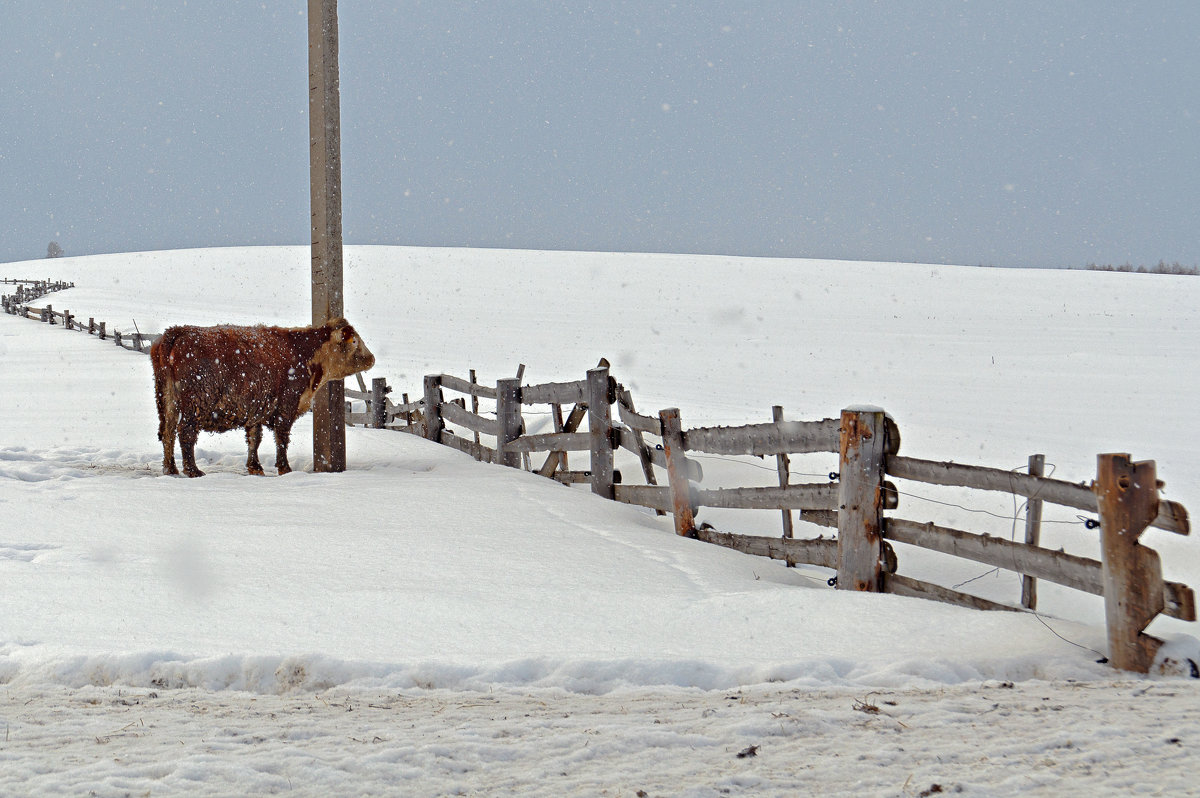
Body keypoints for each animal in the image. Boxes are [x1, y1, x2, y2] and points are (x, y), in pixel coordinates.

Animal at [150, 316, 374, 475]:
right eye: (355, 341)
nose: (371, 358)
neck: (304, 351)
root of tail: (178, 331)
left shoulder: (256, 407)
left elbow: (254, 438)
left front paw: (255, 466)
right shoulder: (287, 405)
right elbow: (281, 437)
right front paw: (285, 468)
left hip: (167, 401)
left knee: (168, 431)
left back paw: (170, 469)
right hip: (195, 403)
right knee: (185, 432)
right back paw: (192, 470)